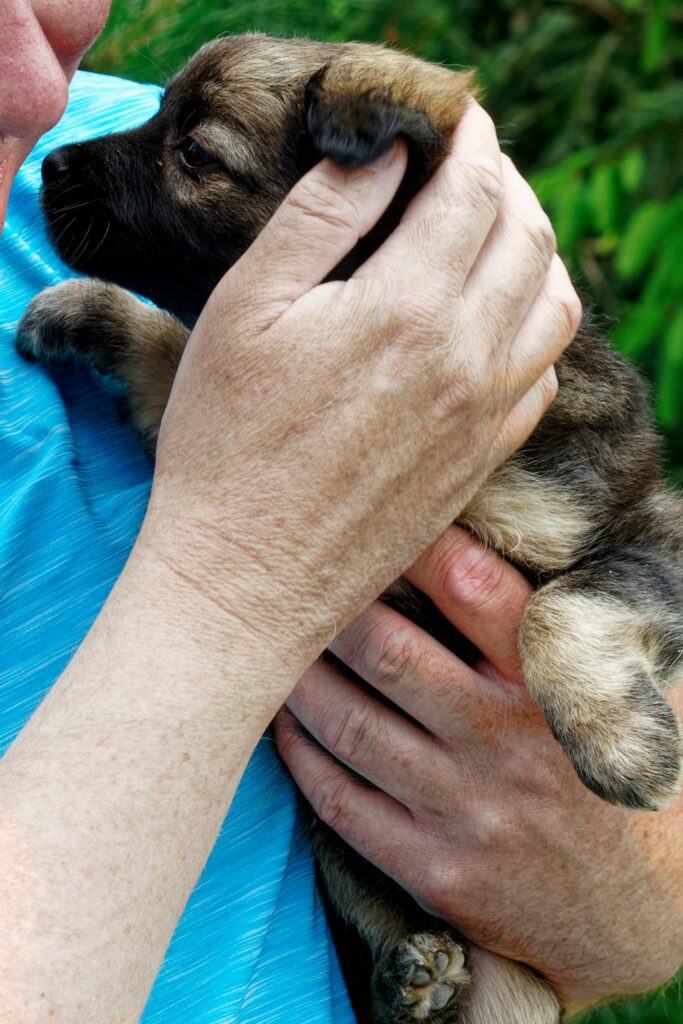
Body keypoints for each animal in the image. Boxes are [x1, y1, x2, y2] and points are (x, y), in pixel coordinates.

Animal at [15, 32, 683, 1024]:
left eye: (194, 153)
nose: (50, 163)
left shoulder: (637, 527)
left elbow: (558, 609)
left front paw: (619, 744)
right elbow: (169, 347)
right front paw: (85, 307)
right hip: (332, 824)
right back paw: (417, 971)